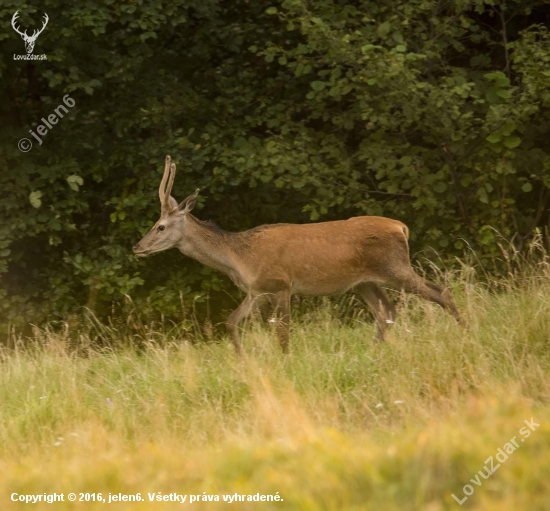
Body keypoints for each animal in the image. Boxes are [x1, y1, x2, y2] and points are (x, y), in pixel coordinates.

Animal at [133, 156, 462, 356]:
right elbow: (231, 321)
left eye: (160, 226)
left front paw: (285, 361)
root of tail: (401, 227)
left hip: (395, 266)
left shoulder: (281, 284)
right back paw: (375, 350)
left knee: (441, 292)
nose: (137, 246)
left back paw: (465, 332)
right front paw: (241, 360)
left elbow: (283, 332)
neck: (239, 257)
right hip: (365, 282)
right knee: (387, 312)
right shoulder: (257, 290)